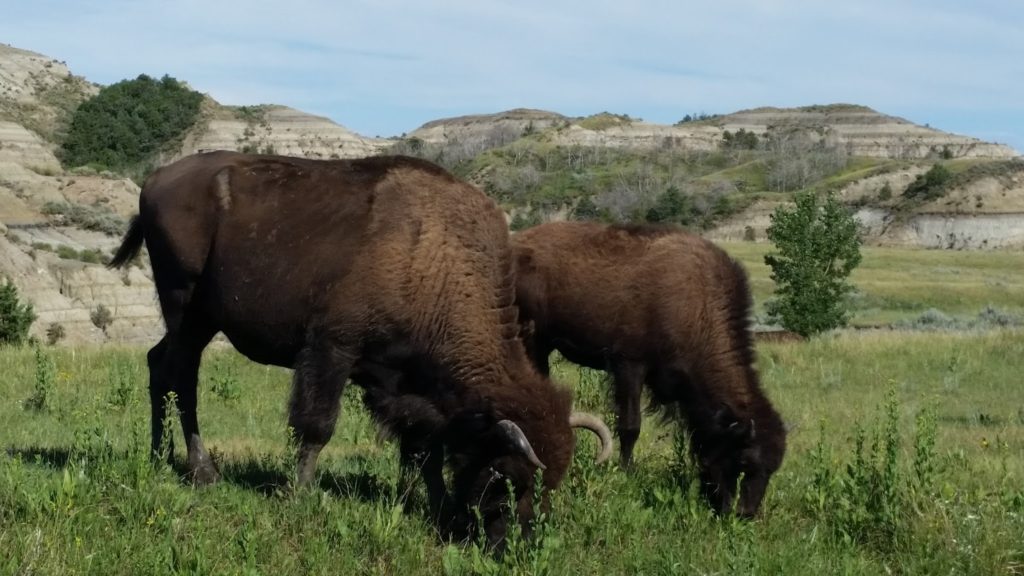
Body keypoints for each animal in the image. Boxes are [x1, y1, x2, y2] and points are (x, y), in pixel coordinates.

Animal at [109, 148, 610, 541]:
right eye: (507, 475)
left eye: (554, 482)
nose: (519, 540)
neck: (432, 259)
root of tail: (156, 179)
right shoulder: (332, 350)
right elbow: (317, 426)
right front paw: (300, 495)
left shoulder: (410, 386)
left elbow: (422, 446)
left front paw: (431, 505)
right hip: (185, 306)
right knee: (182, 378)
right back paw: (202, 473)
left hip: (198, 319)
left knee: (160, 365)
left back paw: (160, 458)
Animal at [512, 219, 782, 516]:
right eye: (744, 460)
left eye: (772, 469)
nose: (744, 513)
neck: (696, 307)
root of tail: (516, 245)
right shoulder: (630, 365)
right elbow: (630, 425)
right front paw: (626, 472)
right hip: (533, 340)